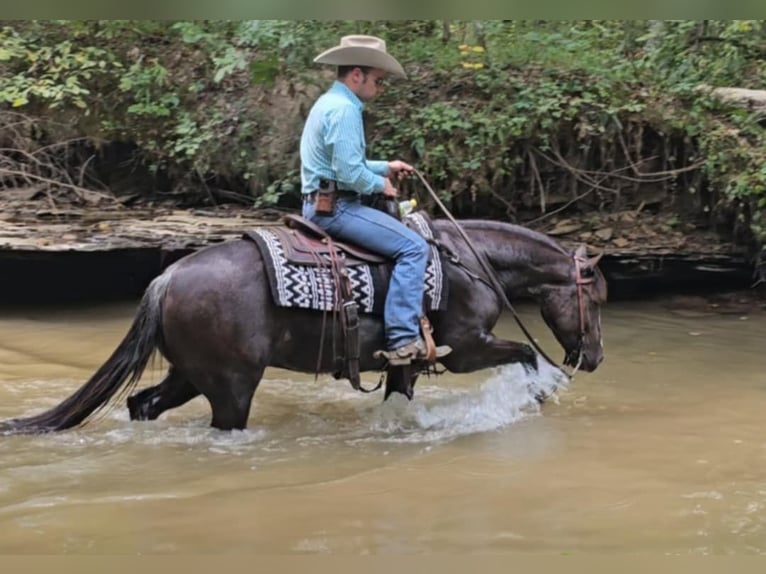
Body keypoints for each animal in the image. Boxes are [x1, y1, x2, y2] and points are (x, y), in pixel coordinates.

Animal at [3, 218, 608, 434]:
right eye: (597, 298)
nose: (596, 359)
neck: (471, 261)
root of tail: (168, 278)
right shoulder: (464, 349)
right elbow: (527, 355)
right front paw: (537, 393)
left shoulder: (408, 364)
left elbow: (399, 400)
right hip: (230, 385)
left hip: (190, 374)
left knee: (143, 403)